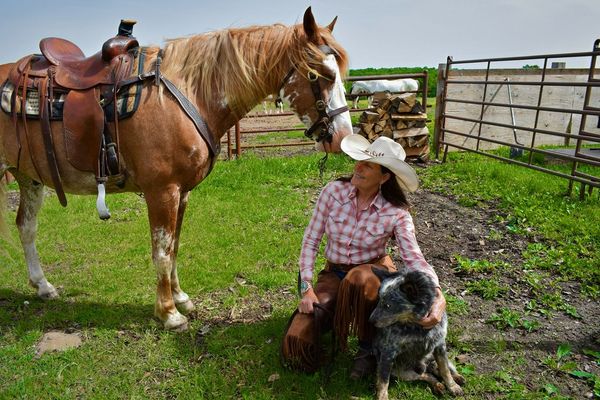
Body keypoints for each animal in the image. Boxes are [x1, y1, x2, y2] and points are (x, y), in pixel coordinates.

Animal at [0, 7, 352, 332]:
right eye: (320, 74)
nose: (343, 137)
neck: (186, 96)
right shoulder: (162, 192)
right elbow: (162, 251)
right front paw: (168, 312)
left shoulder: (181, 193)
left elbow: (175, 246)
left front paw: (181, 298)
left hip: (29, 178)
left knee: (26, 227)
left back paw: (43, 286)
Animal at [368, 268, 466, 398]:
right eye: (379, 299)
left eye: (388, 305)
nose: (370, 321)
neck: (417, 327)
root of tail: (422, 366)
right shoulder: (388, 352)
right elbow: (383, 382)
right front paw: (382, 397)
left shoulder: (440, 346)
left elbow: (444, 369)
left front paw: (453, 387)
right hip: (401, 372)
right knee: (426, 375)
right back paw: (438, 386)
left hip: (433, 356)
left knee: (439, 368)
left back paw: (457, 377)